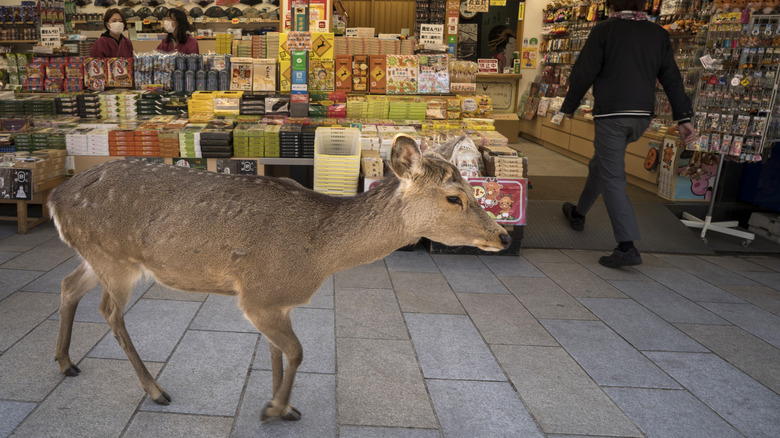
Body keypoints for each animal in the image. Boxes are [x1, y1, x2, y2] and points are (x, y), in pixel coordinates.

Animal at [47, 135, 512, 422]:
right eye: (454, 197)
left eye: (471, 189)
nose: (503, 235)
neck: (318, 254)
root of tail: (55, 198)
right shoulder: (257, 295)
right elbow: (297, 352)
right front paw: (276, 410)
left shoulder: (274, 301)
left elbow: (276, 353)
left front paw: (280, 404)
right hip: (115, 259)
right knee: (109, 311)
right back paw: (155, 390)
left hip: (94, 256)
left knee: (68, 285)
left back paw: (66, 362)